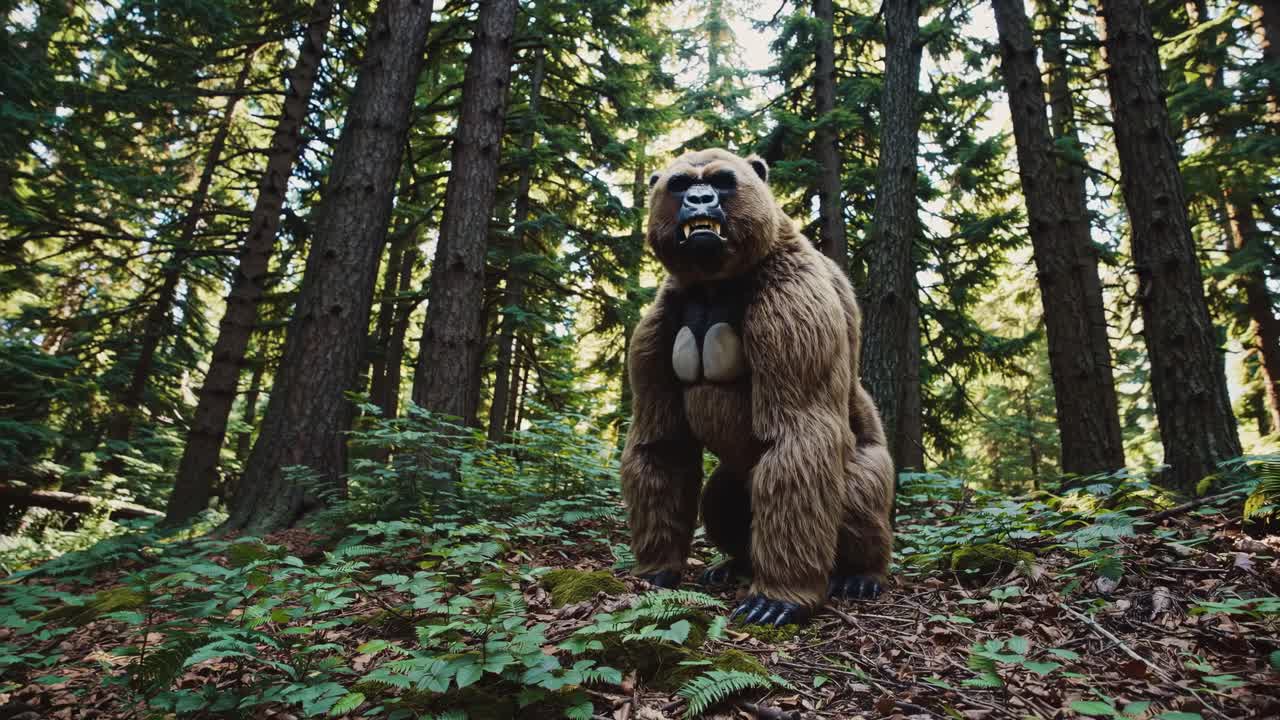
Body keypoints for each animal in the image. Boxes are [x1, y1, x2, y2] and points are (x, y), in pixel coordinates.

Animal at [620, 148, 895, 627]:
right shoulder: (654, 330)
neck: (714, 283)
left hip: (873, 464)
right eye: (678, 184)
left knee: (858, 492)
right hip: (736, 478)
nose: (699, 199)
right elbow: (662, 444)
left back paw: (860, 574)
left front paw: (778, 597)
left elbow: (799, 433)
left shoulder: (793, 303)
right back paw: (733, 563)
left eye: (723, 180)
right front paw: (656, 567)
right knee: (719, 500)